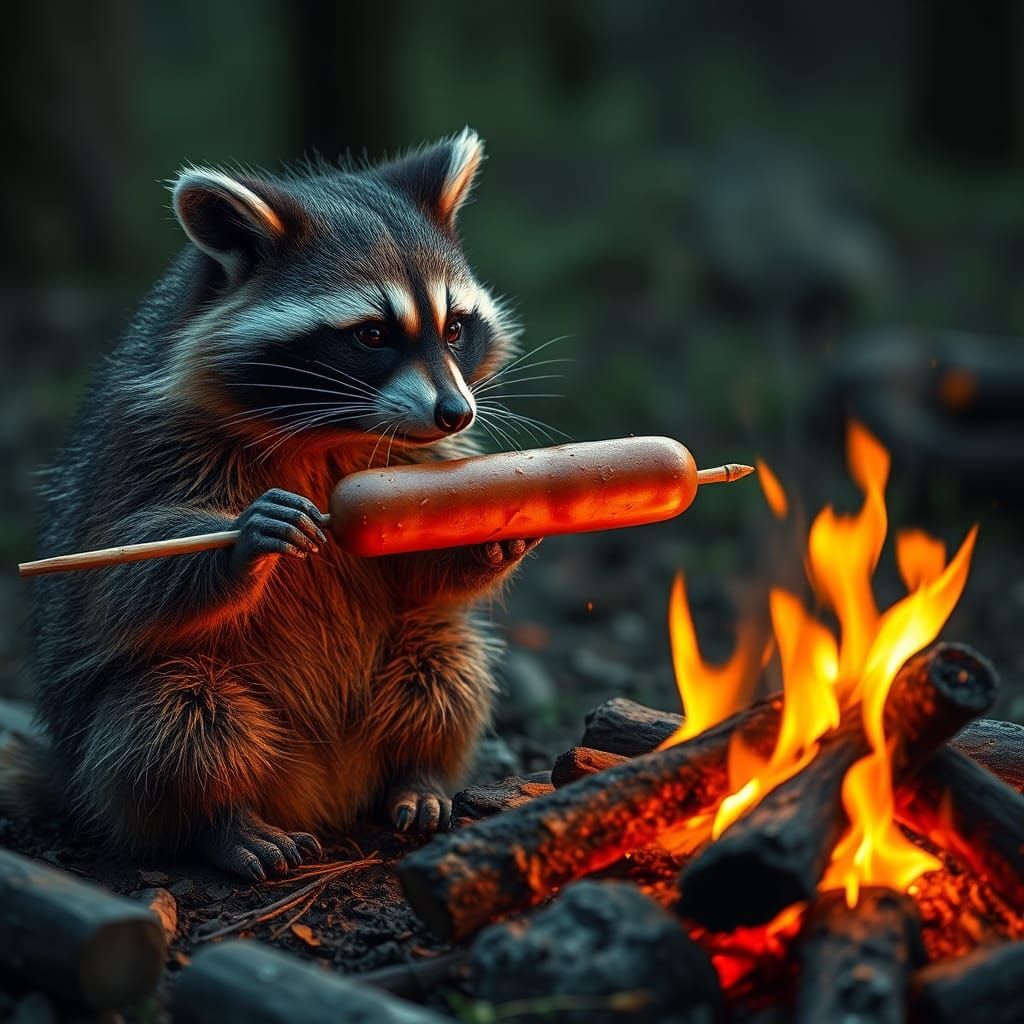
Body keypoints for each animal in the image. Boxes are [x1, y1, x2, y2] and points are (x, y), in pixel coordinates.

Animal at [11, 129, 539, 880]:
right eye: (373, 334)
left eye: (456, 328)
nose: (455, 413)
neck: (334, 432)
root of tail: (323, 793)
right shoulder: (148, 441)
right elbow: (114, 576)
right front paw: (238, 541)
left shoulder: (421, 460)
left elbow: (416, 574)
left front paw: (486, 532)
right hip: (126, 731)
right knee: (172, 712)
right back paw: (220, 818)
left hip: (398, 685)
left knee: (441, 655)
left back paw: (419, 770)